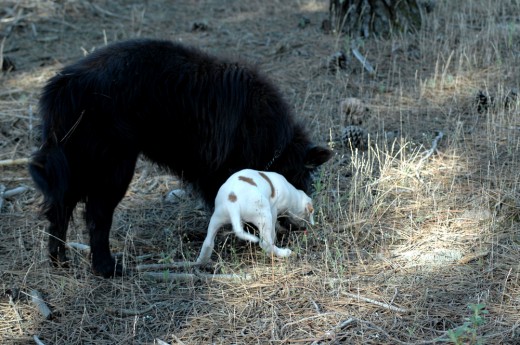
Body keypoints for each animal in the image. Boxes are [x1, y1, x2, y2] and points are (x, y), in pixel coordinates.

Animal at [29, 38, 330, 276]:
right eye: (301, 178)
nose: (297, 228)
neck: (271, 138)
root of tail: (64, 87)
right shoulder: (221, 170)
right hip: (114, 167)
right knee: (97, 217)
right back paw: (107, 268)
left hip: (73, 166)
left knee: (59, 212)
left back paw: (59, 262)